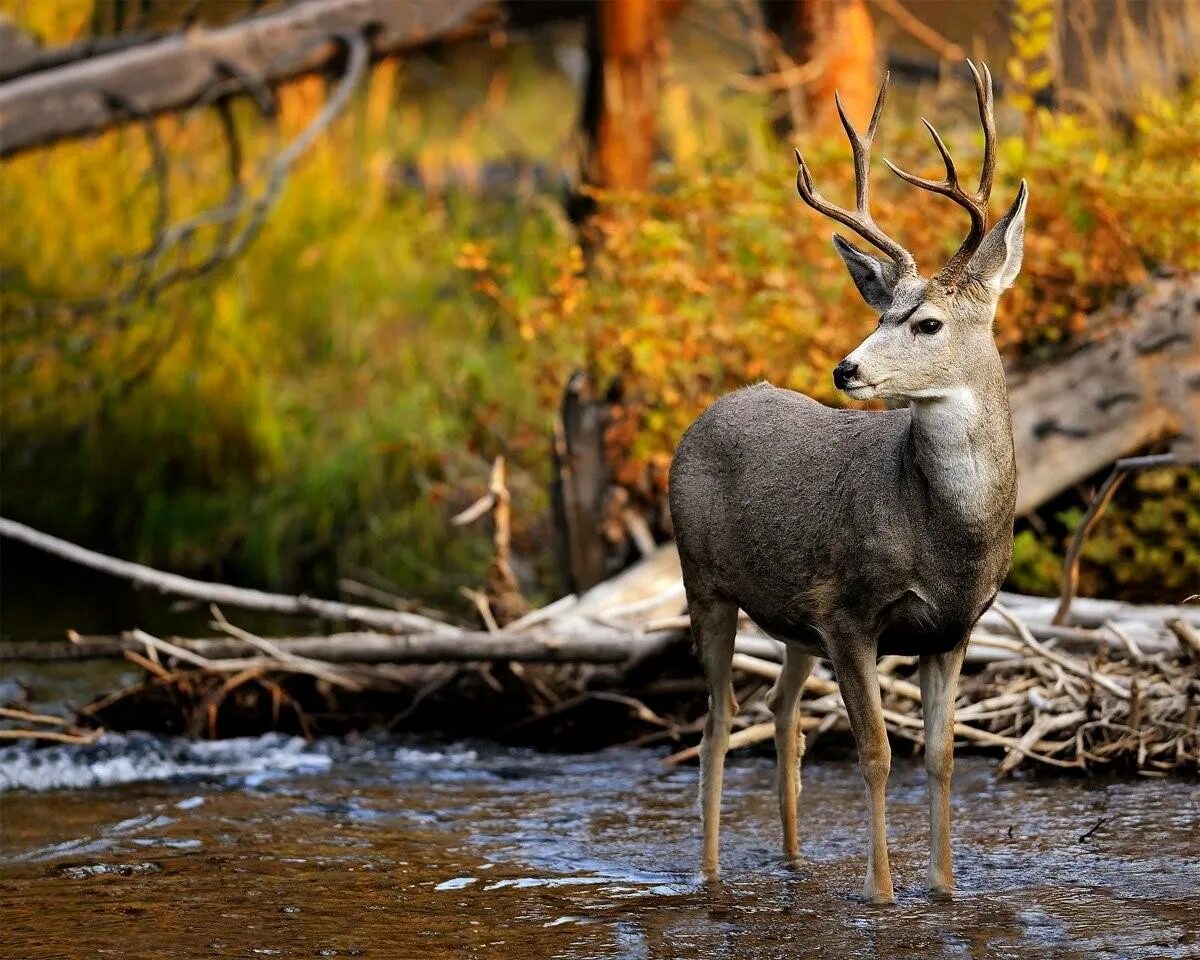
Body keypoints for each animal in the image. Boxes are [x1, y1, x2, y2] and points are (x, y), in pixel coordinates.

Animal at [672, 61, 1027, 907]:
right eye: (882, 310)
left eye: (926, 322)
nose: (845, 368)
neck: (946, 534)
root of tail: (709, 410)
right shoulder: (848, 611)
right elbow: (876, 754)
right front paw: (881, 892)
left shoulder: (954, 628)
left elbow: (939, 757)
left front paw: (945, 889)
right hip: (704, 582)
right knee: (718, 721)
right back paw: (708, 874)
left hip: (790, 615)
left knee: (781, 710)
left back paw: (795, 859)